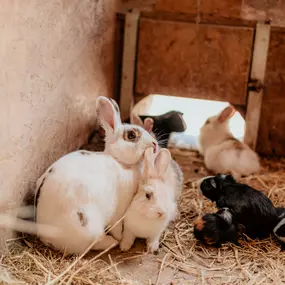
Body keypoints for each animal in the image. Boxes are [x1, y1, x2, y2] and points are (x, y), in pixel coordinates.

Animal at [35, 95, 158, 253]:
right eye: (131, 135)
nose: (155, 144)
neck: (120, 162)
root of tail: (49, 239)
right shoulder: (118, 212)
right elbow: (117, 227)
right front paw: (120, 238)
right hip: (89, 227)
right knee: (96, 242)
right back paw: (112, 242)